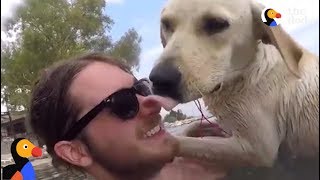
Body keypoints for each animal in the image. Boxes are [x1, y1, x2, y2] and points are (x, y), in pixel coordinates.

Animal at [149, 0, 318, 168]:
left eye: (216, 24)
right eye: (166, 24)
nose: (159, 79)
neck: (243, 75)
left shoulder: (257, 150)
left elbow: (183, 142)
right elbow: (194, 126)